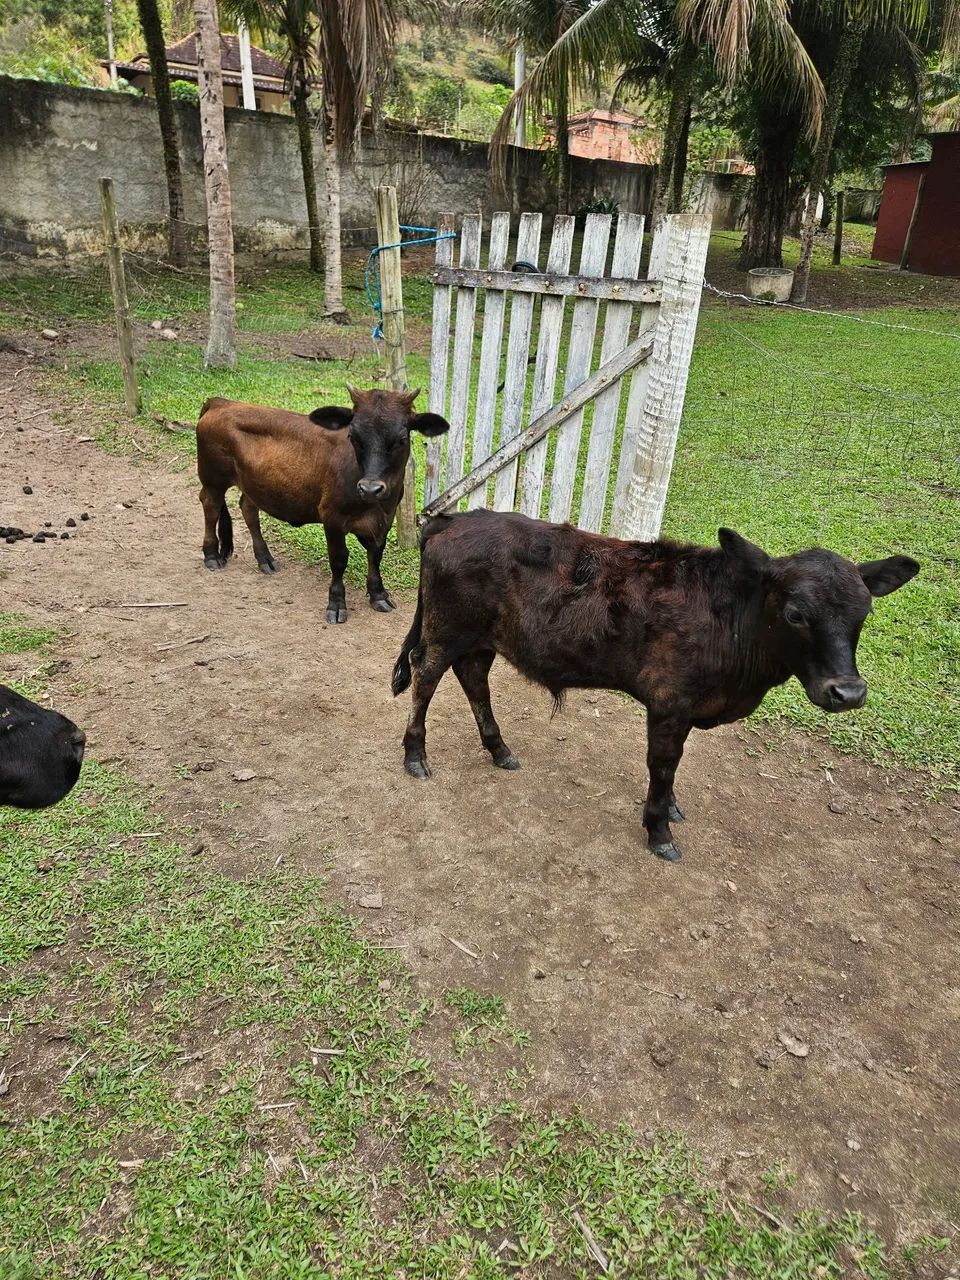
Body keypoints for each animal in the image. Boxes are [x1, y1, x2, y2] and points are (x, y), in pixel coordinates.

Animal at [196, 388, 450, 624]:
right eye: (353, 436)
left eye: (401, 439)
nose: (370, 488)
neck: (377, 506)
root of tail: (220, 402)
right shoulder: (332, 518)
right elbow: (339, 560)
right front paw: (336, 604)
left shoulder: (384, 521)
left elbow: (375, 555)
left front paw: (379, 595)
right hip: (213, 478)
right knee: (210, 506)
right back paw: (211, 555)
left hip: (254, 484)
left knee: (248, 509)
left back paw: (265, 559)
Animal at [392, 511, 919, 862]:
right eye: (795, 614)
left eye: (864, 612)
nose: (847, 692)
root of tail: (452, 518)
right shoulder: (670, 704)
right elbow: (664, 767)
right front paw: (659, 829)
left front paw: (672, 810)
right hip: (446, 629)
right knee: (425, 676)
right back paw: (416, 755)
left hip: (483, 637)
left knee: (473, 679)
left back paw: (499, 749)